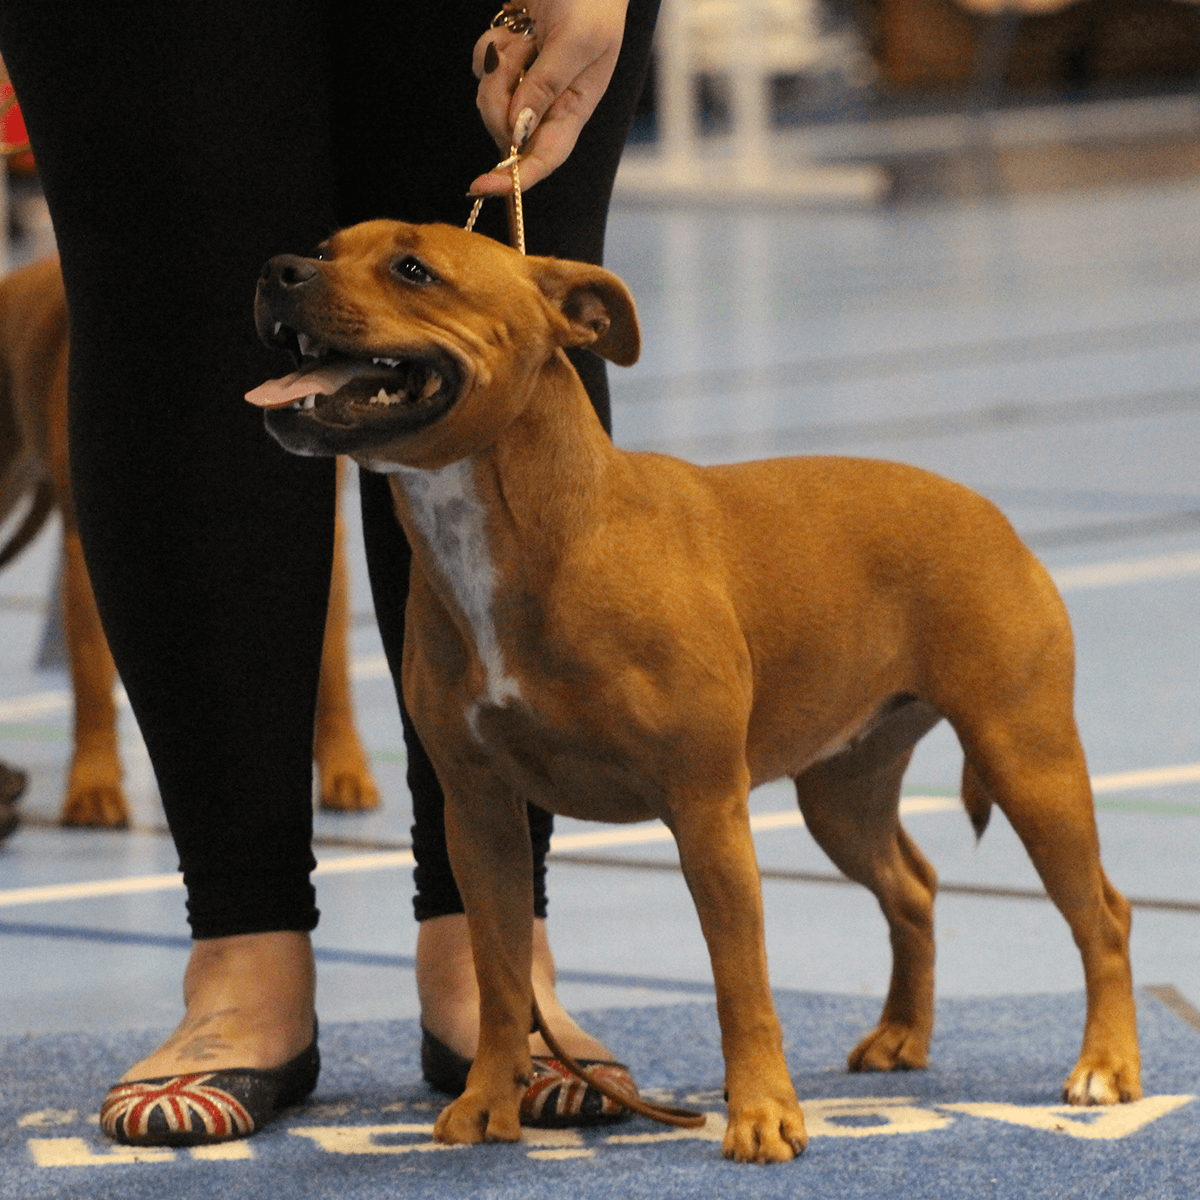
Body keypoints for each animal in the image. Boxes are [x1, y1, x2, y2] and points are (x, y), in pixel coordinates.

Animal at [246, 218, 1142, 1161]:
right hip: (843, 795)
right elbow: (499, 977)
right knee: (914, 888)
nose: (279, 270)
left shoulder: (707, 809)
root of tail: (992, 514)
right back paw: (903, 1034)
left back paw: (1105, 1067)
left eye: (414, 269)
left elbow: (740, 983)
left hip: (1028, 760)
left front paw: (763, 1115)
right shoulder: (480, 814)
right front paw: (489, 1100)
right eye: (327, 248)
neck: (529, 528)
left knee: (1102, 915)